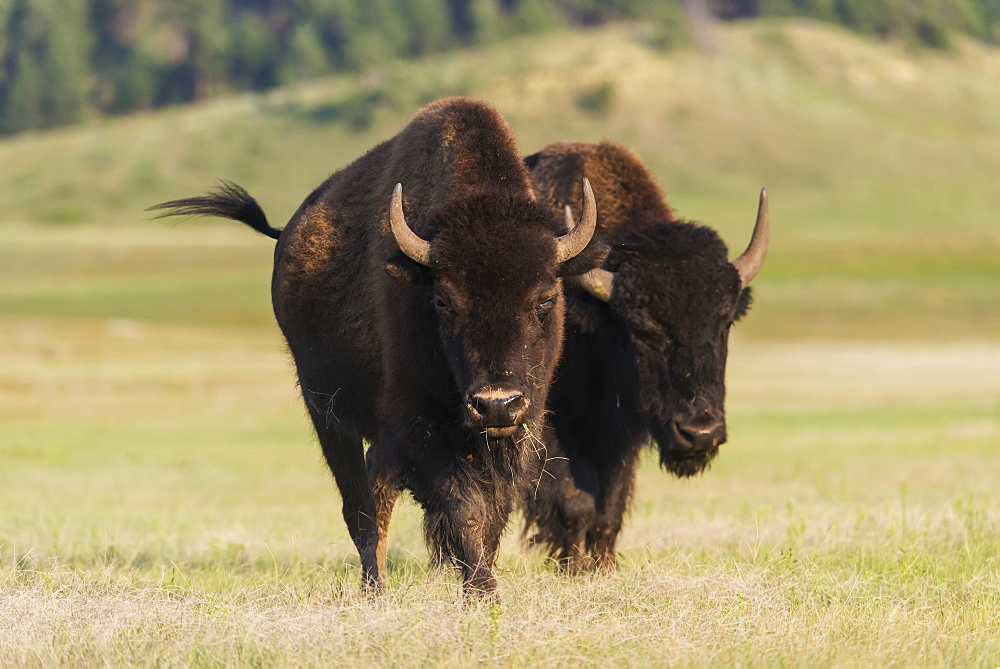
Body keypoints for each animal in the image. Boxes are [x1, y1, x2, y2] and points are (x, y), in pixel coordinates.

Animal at [147, 99, 600, 596]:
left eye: (546, 298)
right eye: (443, 300)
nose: (496, 403)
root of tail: (286, 235)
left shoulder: (519, 427)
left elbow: (492, 513)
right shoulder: (419, 428)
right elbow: (462, 507)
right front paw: (482, 593)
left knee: (376, 494)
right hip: (325, 412)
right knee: (359, 507)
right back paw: (374, 590)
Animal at [520, 141, 768, 568]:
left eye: (724, 321)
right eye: (641, 330)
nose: (699, 433)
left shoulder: (624, 435)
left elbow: (610, 507)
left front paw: (602, 567)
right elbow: (575, 501)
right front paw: (574, 567)